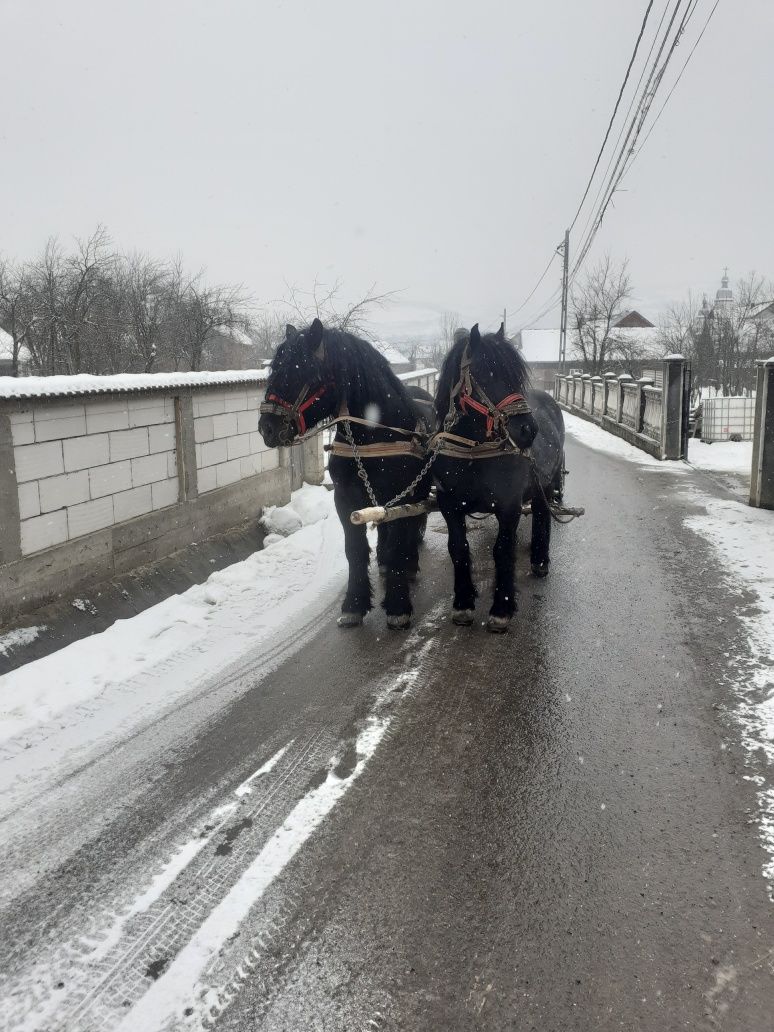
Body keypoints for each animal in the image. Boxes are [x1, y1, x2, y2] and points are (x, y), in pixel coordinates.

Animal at [258, 319, 433, 627]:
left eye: (301, 371)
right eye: (274, 369)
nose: (266, 427)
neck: (372, 435)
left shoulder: (402, 495)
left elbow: (399, 543)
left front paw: (398, 606)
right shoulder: (345, 497)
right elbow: (355, 549)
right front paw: (354, 604)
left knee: (411, 526)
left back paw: (408, 565)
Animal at [437, 319, 565, 627]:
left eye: (516, 375)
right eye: (486, 372)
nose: (528, 430)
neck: (473, 454)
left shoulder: (508, 506)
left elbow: (502, 550)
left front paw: (502, 609)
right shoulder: (450, 506)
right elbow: (458, 548)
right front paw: (463, 603)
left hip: (548, 484)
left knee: (542, 515)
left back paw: (540, 561)